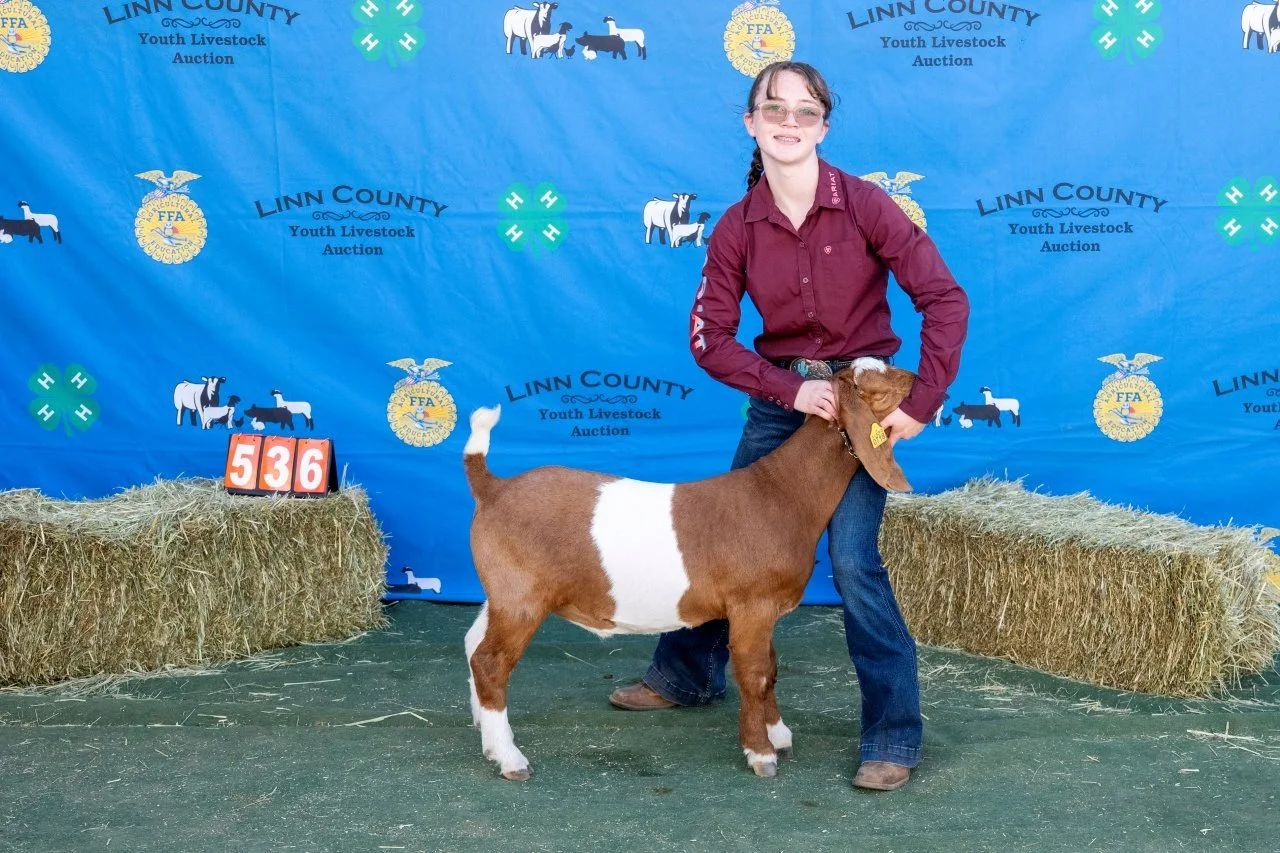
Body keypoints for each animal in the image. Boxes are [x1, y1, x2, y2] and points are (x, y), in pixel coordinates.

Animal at [463, 359, 914, 781]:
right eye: (874, 381)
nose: (915, 380)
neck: (781, 493)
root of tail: (494, 487)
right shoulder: (752, 604)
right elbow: (754, 673)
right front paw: (761, 754)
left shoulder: (765, 611)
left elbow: (771, 668)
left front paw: (779, 735)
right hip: (521, 597)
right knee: (490, 662)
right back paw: (510, 758)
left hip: (501, 595)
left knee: (472, 645)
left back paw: (486, 735)